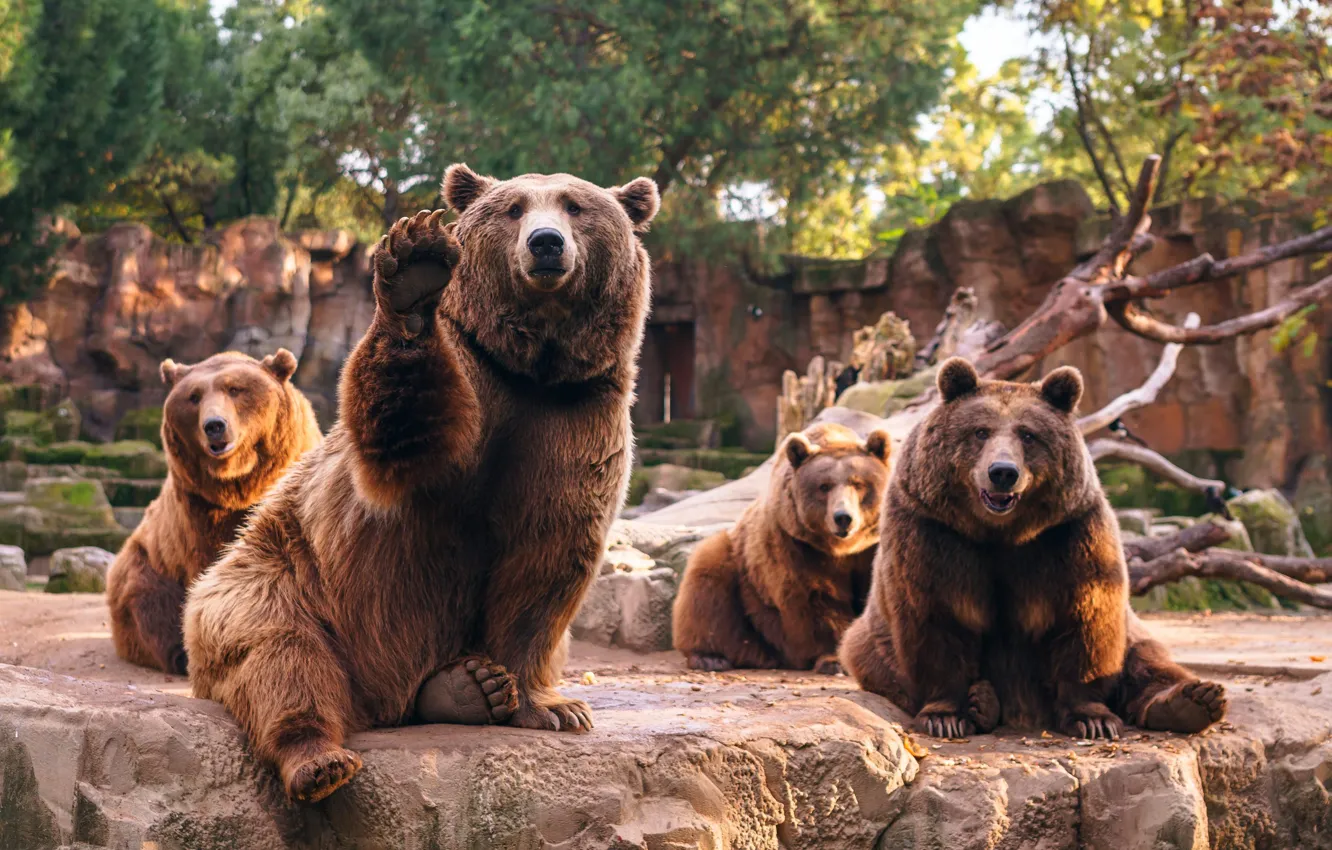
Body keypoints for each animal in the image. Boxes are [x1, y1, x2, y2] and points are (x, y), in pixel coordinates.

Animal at [106, 350, 321, 675]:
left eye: (235, 389)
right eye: (194, 397)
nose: (214, 425)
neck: (240, 485)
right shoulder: (198, 509)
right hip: (148, 561)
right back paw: (180, 655)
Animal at [183, 165, 661, 803]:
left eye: (576, 206)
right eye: (513, 208)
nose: (546, 244)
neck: (532, 370)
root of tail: (379, 702)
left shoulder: (575, 419)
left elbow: (545, 564)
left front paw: (554, 707)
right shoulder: (469, 386)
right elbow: (403, 435)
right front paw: (415, 269)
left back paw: (469, 688)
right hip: (274, 583)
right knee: (281, 657)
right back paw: (320, 760)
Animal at [672, 422, 890, 673]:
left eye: (858, 483)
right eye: (824, 486)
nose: (843, 517)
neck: (842, 549)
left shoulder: (872, 548)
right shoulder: (795, 545)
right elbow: (816, 600)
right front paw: (834, 659)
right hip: (739, 572)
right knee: (707, 585)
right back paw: (710, 657)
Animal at [839, 357, 1227, 740]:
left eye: (1028, 434)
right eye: (980, 431)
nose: (1002, 472)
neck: (1000, 532)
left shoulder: (1068, 534)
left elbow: (1087, 616)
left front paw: (1093, 719)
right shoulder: (932, 532)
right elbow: (936, 614)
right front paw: (945, 715)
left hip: (1131, 632)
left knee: (1147, 658)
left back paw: (1193, 700)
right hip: (870, 644)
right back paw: (983, 702)